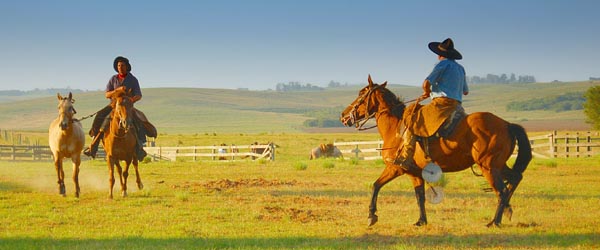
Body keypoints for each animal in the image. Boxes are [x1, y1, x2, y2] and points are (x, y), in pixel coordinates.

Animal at [340, 75, 532, 227]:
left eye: (361, 94)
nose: (343, 115)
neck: (395, 128)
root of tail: (507, 125)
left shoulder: (396, 168)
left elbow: (376, 185)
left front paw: (371, 216)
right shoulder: (415, 173)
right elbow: (420, 197)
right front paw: (421, 221)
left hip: (489, 167)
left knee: (502, 191)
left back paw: (495, 221)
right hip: (498, 166)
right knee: (515, 178)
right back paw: (507, 211)